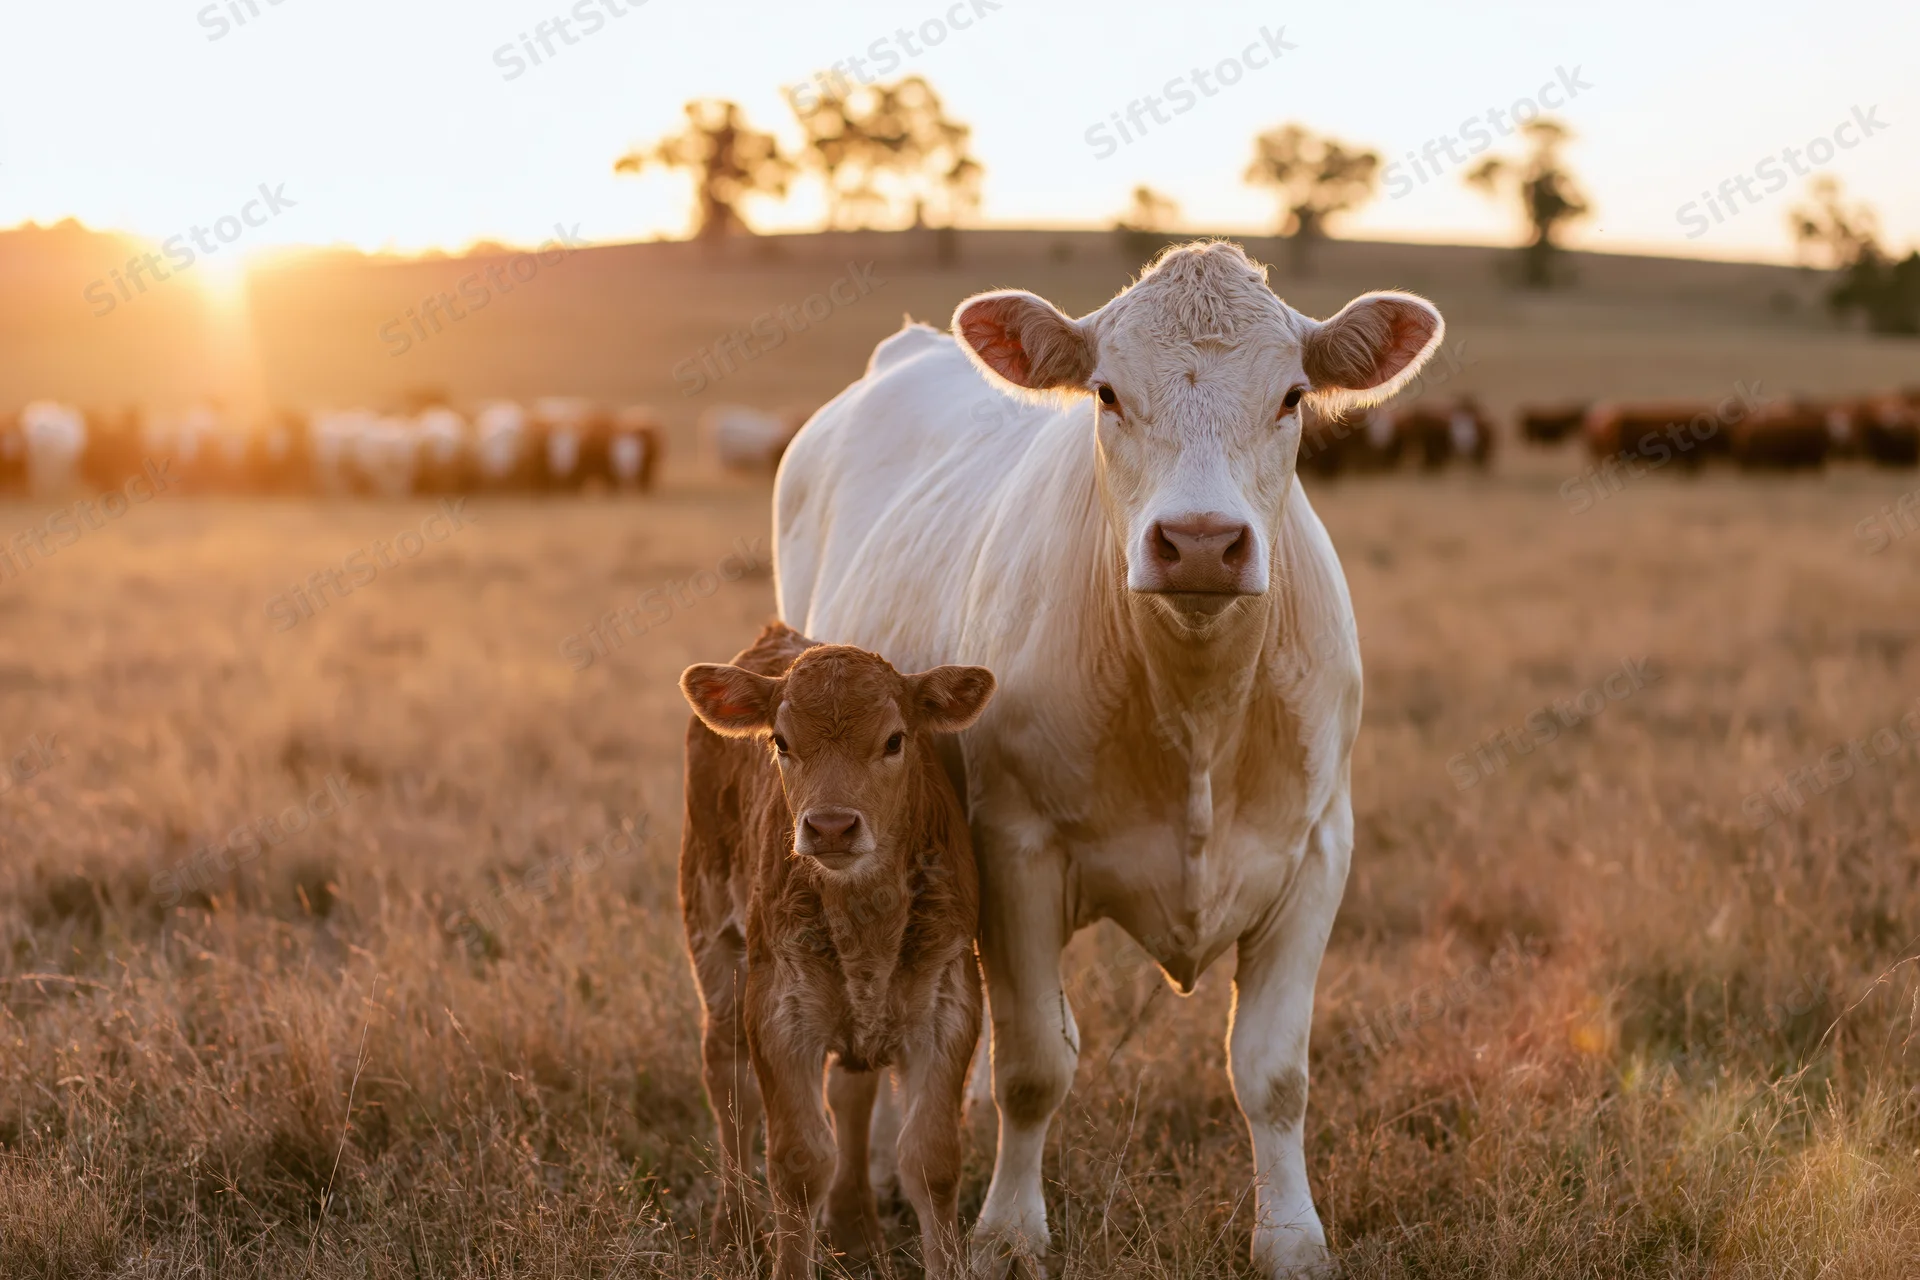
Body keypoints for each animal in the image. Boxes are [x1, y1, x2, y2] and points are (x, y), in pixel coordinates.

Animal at [678, 621, 995, 1280]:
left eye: (895, 740)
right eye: (781, 741)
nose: (829, 827)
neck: (866, 927)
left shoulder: (949, 1005)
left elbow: (931, 1161)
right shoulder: (778, 1011)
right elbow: (799, 1162)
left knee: (852, 1093)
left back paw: (855, 1226)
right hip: (712, 938)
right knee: (726, 1079)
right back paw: (733, 1231)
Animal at [774, 240, 1443, 1276]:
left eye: (1292, 395)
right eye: (1107, 392)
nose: (1201, 543)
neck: (1196, 709)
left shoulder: (1316, 851)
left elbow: (1274, 1073)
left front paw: (1292, 1239)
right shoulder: (1013, 850)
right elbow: (1032, 1067)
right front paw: (1009, 1234)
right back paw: (873, 1176)